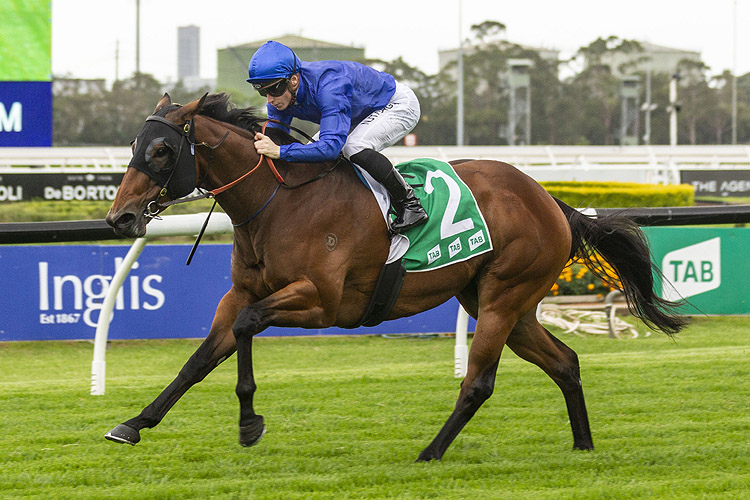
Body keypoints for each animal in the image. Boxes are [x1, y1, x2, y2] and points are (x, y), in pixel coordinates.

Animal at [104, 93, 688, 460]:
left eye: (162, 150)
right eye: (133, 146)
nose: (120, 218)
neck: (278, 202)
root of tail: (551, 201)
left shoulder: (321, 302)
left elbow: (248, 326)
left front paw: (250, 423)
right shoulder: (242, 292)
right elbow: (200, 359)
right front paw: (133, 424)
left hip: (504, 296)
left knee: (478, 382)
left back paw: (430, 451)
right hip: (502, 304)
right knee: (565, 362)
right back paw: (583, 446)